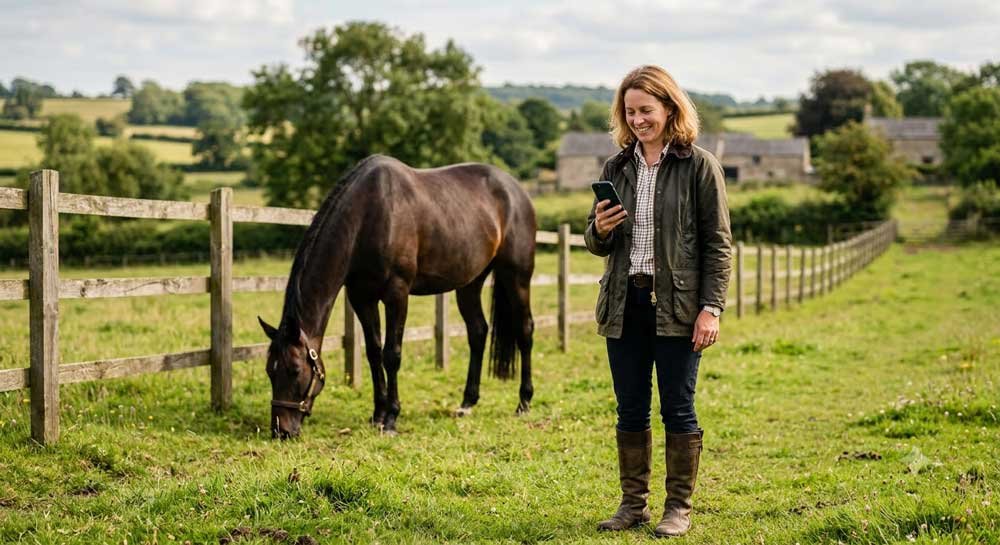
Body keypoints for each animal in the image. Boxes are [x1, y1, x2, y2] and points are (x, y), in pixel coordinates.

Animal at [257, 154, 536, 438]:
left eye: (294, 370)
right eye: (270, 370)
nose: (281, 431)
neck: (370, 214)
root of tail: (516, 190)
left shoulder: (397, 293)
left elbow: (392, 354)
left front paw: (391, 418)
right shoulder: (361, 297)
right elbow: (373, 352)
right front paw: (377, 415)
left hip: (517, 277)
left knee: (525, 330)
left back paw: (523, 402)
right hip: (470, 284)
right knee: (478, 332)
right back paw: (467, 404)